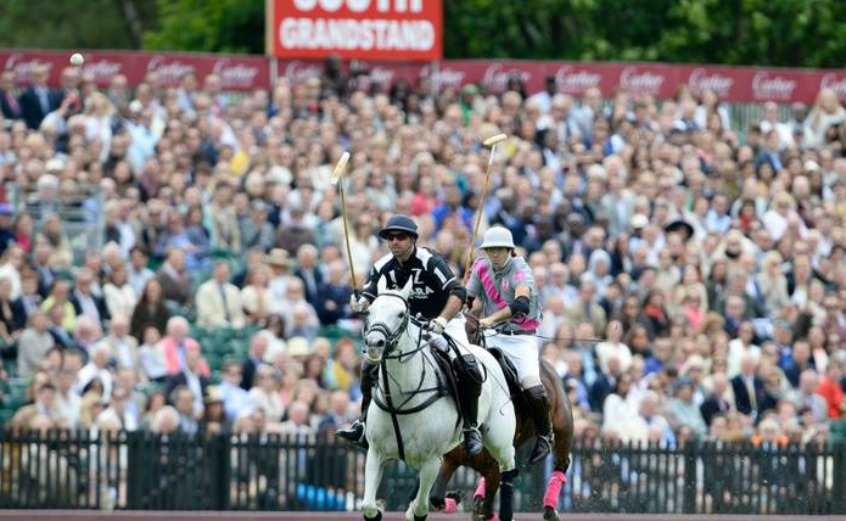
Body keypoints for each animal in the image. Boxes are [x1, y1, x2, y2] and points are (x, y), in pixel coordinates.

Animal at [360, 276, 516, 520]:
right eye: (370, 311)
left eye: (401, 313)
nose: (374, 344)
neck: (401, 398)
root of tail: (487, 352)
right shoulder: (376, 453)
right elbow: (368, 505)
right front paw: (379, 508)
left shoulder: (431, 460)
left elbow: (421, 509)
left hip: (500, 436)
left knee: (508, 465)